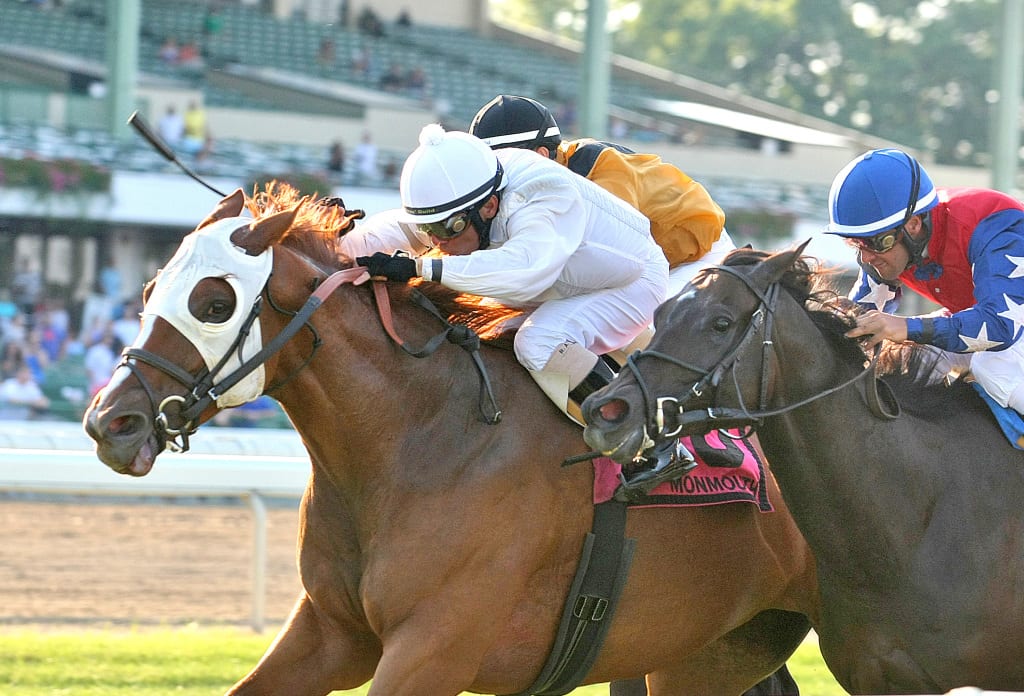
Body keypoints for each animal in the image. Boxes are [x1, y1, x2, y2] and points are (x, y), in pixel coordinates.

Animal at [81, 186, 815, 696]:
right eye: (150, 288)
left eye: (214, 304)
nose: (110, 423)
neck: (418, 439)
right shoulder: (332, 634)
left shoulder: (435, 649)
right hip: (712, 650)